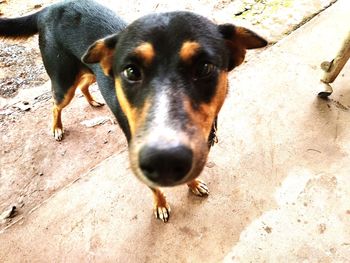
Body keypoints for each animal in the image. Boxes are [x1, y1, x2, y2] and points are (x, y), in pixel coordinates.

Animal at [0, 0, 268, 223]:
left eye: (204, 68)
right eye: (130, 71)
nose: (164, 160)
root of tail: (48, 8)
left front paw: (192, 185)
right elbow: (155, 189)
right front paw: (161, 205)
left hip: (89, 68)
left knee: (86, 84)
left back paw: (93, 102)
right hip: (63, 80)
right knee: (56, 104)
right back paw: (57, 128)